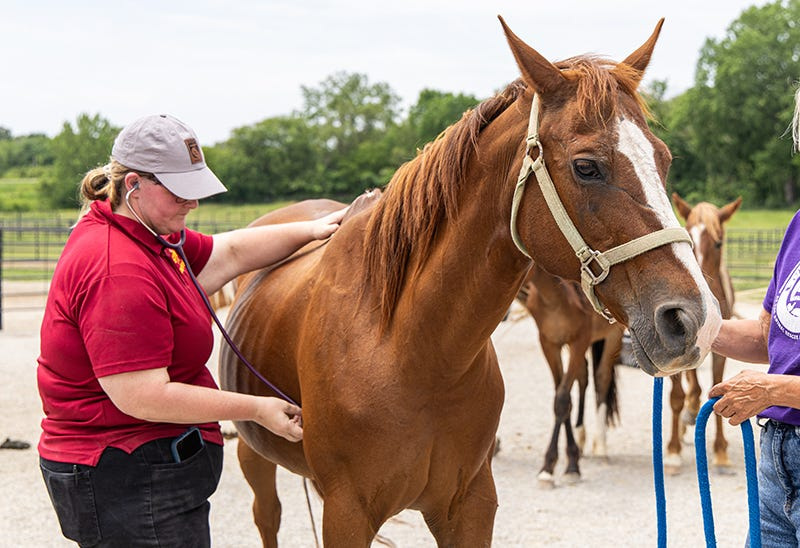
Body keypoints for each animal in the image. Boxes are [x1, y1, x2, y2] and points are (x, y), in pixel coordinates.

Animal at [516, 264, 624, 488]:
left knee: (601, 378)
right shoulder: (549, 344)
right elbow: (562, 397)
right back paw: (582, 437)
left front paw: (562, 467)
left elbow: (563, 399)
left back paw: (601, 446)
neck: (555, 298)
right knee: (583, 378)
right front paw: (563, 461)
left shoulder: (579, 342)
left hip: (613, 336)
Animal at [663, 192, 742, 474]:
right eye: (687, 235)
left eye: (718, 243)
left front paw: (720, 452)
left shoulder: (720, 353)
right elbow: (677, 397)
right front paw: (673, 451)